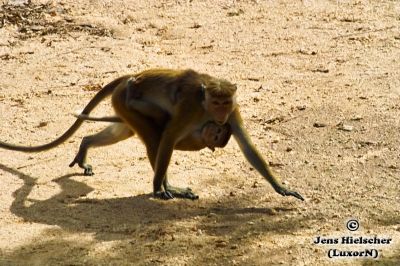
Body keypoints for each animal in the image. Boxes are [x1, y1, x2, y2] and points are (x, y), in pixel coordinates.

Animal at [0, 69, 304, 201]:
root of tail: (127, 77)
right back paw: (165, 186)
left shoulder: (234, 112)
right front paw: (160, 188)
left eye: (225, 102)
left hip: (122, 107)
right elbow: (168, 138)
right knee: (156, 137)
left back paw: (85, 145)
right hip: (127, 101)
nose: (220, 114)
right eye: (216, 102)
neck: (206, 109)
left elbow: (247, 146)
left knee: (124, 131)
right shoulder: (191, 107)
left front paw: (280, 187)